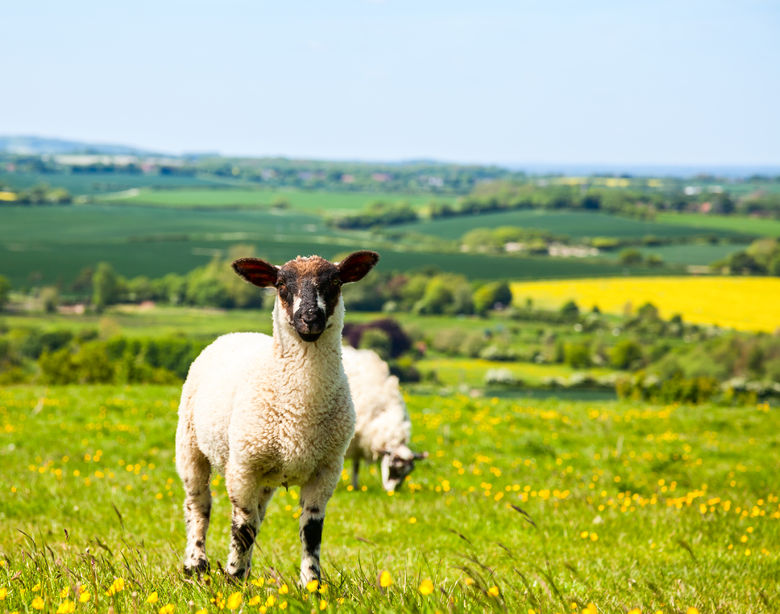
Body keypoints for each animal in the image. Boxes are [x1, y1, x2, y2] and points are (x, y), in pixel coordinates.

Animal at [177, 251, 384, 588]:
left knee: (257, 515)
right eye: (281, 285)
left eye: (335, 282)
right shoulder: (243, 467)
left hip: (266, 476)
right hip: (190, 444)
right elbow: (242, 528)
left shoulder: (326, 470)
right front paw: (233, 580)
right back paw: (196, 564)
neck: (300, 409)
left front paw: (312, 585)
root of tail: (236, 333)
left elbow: (311, 531)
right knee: (199, 505)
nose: (309, 318)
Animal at [342, 348, 426, 494]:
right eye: (392, 466)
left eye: (408, 473)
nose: (392, 491)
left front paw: (355, 487)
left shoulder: (358, 442)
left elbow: (356, 466)